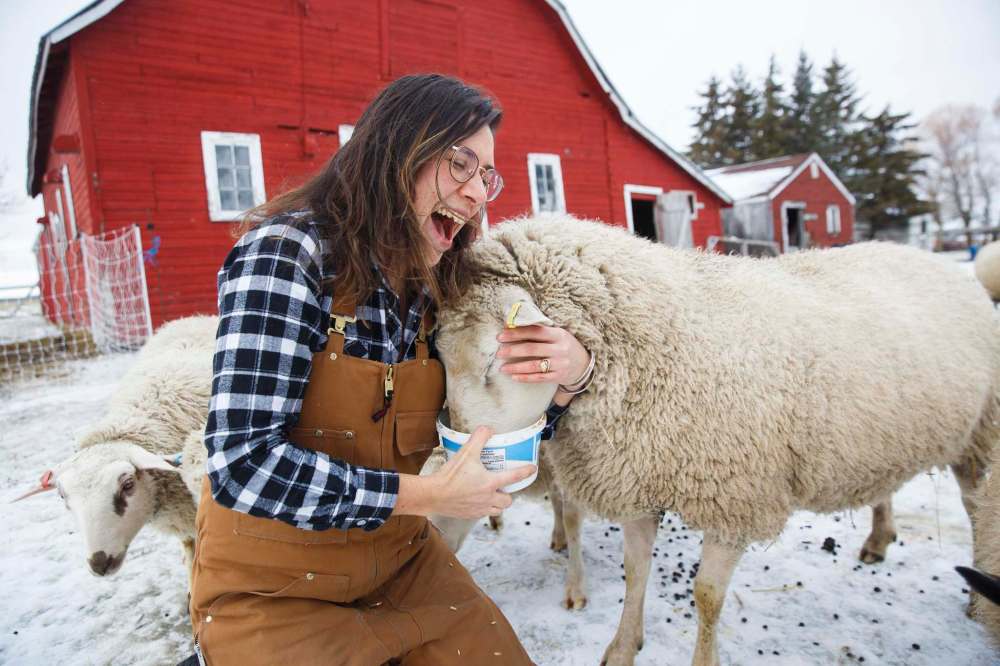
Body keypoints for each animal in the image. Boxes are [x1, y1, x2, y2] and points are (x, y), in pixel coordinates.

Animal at [435, 214, 1000, 666]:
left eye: (493, 359)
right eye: (439, 356)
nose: (459, 459)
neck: (658, 348)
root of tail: (937, 262)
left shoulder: (736, 499)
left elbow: (706, 596)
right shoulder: (640, 480)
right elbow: (635, 570)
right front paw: (622, 647)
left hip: (979, 436)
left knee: (975, 508)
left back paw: (977, 599)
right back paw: (879, 540)